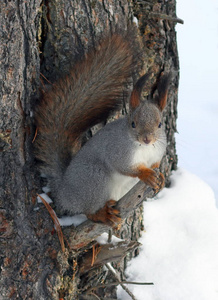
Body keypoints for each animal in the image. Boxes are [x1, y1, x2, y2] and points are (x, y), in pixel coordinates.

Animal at [34, 34, 170, 226]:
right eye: (133, 123)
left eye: (159, 124)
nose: (147, 139)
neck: (144, 149)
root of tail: (64, 191)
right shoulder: (118, 151)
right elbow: (125, 167)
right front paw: (146, 174)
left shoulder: (157, 153)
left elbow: (156, 165)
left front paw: (161, 177)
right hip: (96, 180)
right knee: (88, 211)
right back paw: (103, 215)